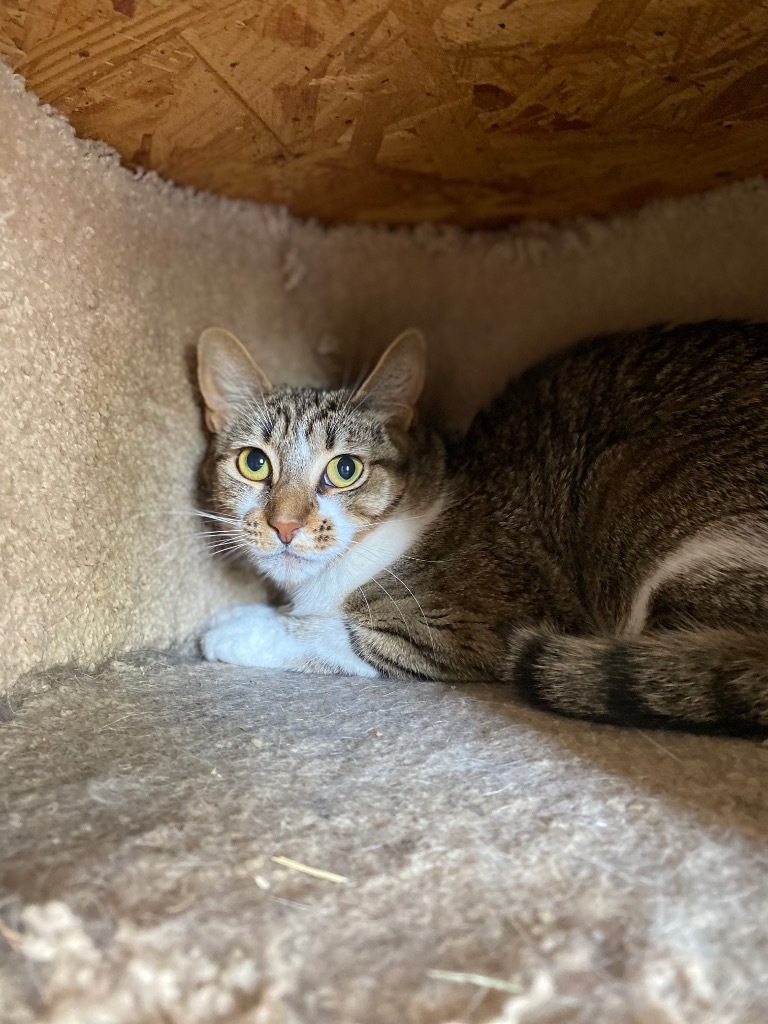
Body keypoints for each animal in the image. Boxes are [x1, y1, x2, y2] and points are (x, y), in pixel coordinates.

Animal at [195, 323, 768, 733]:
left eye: (345, 470)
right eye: (254, 463)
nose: (285, 525)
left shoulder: (469, 628)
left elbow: (341, 635)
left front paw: (238, 628)